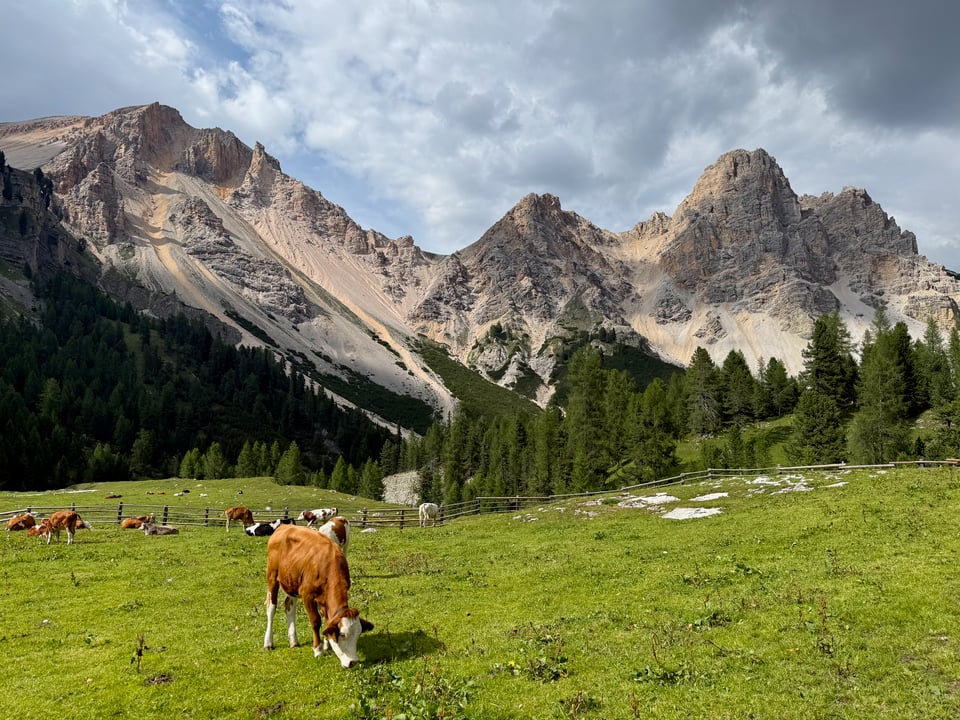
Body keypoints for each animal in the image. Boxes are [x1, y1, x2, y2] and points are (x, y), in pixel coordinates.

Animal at [264, 524, 372, 668]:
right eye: (342, 634)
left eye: (358, 634)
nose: (353, 662)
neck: (328, 566)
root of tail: (284, 526)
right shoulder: (307, 595)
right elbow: (315, 621)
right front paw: (318, 650)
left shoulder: (324, 599)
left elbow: (328, 621)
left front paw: (327, 644)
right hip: (272, 576)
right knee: (271, 607)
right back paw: (268, 642)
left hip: (291, 581)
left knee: (289, 606)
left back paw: (294, 641)